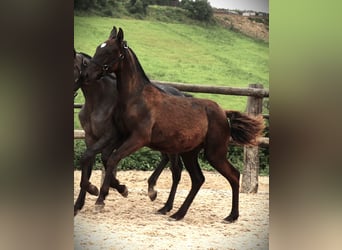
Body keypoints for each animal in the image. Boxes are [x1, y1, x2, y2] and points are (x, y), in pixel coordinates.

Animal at [84, 26, 266, 223]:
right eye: (98, 48)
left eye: (109, 52)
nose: (86, 74)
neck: (136, 98)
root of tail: (223, 113)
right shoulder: (121, 135)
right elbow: (107, 158)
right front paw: (117, 189)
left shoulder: (138, 139)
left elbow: (113, 159)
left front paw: (101, 200)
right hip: (190, 153)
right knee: (197, 179)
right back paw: (177, 213)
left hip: (214, 153)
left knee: (233, 175)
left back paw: (231, 216)